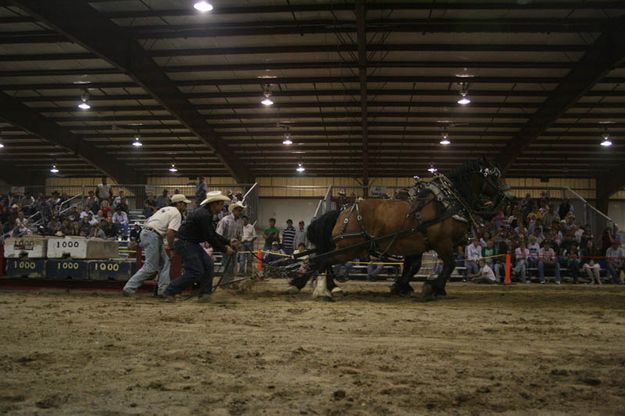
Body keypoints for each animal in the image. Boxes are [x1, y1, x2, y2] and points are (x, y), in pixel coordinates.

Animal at [290, 158, 510, 300]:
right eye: (495, 177)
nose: (508, 198)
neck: (447, 201)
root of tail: (343, 211)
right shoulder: (442, 243)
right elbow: (449, 265)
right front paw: (433, 288)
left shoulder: (418, 243)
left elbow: (413, 267)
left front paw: (401, 286)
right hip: (351, 248)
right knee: (322, 260)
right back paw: (322, 290)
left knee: (321, 260)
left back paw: (320, 286)